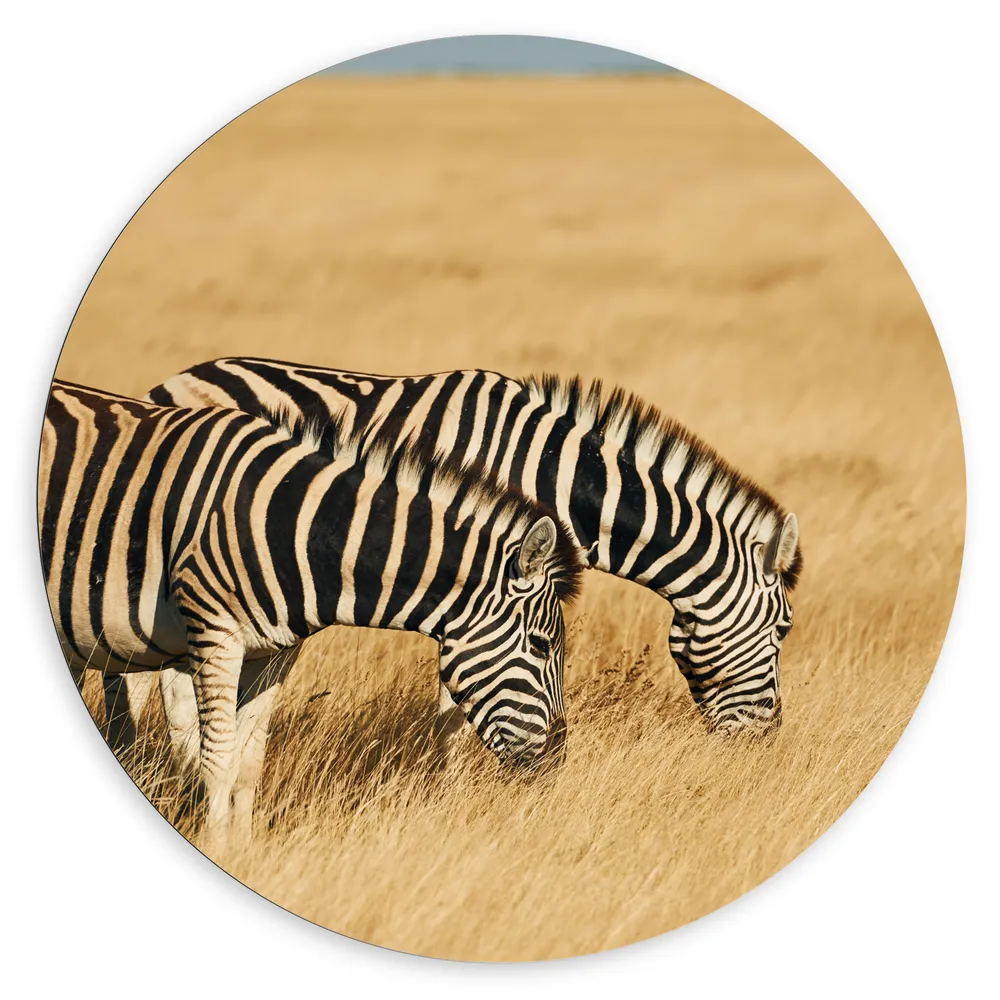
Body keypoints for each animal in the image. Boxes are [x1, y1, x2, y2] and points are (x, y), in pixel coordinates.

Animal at [39, 379, 581, 839]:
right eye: (541, 645)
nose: (559, 760)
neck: (299, 528)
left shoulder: (273, 653)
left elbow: (248, 760)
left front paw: (243, 851)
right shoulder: (214, 633)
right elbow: (218, 759)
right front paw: (215, 846)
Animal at [113, 357, 801, 754]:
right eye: (784, 629)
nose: (769, 740)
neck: (549, 472)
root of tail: (172, 379)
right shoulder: (481, 573)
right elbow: (460, 704)